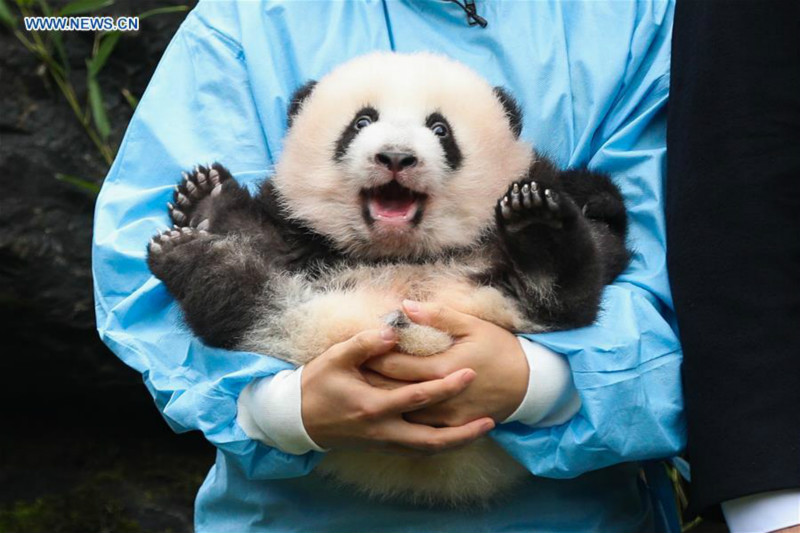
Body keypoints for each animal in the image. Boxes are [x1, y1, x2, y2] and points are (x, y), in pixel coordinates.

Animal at [146, 52, 630, 506]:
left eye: (440, 129)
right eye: (361, 122)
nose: (396, 156)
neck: (398, 252)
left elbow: (601, 243)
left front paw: (556, 203)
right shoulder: (303, 235)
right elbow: (267, 235)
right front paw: (209, 201)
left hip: (506, 304)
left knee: (565, 293)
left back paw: (539, 231)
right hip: (298, 319)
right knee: (237, 299)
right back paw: (199, 222)